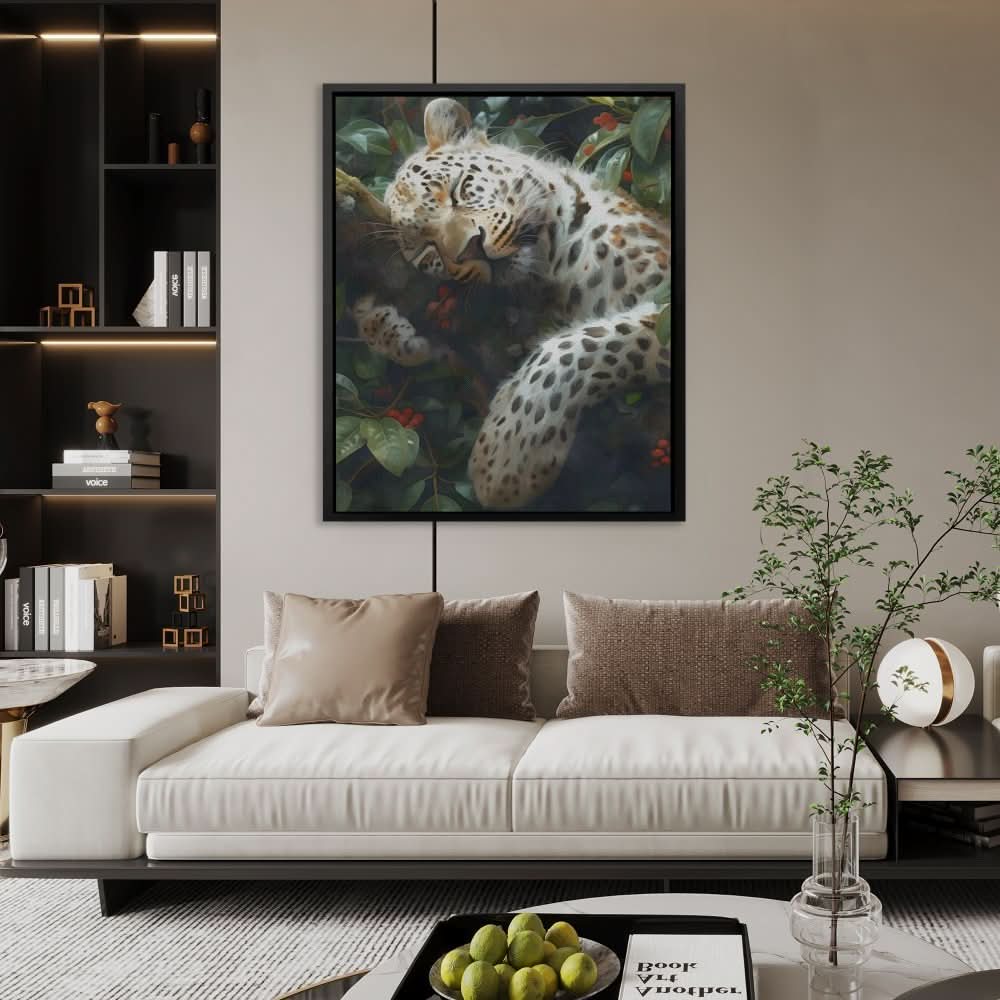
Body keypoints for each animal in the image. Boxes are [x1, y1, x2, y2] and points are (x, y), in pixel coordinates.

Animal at [338, 97, 672, 510]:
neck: (552, 272)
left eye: (459, 190)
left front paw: (506, 458)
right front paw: (388, 328)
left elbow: (587, 343)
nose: (472, 249)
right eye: (426, 250)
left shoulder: (663, 301)